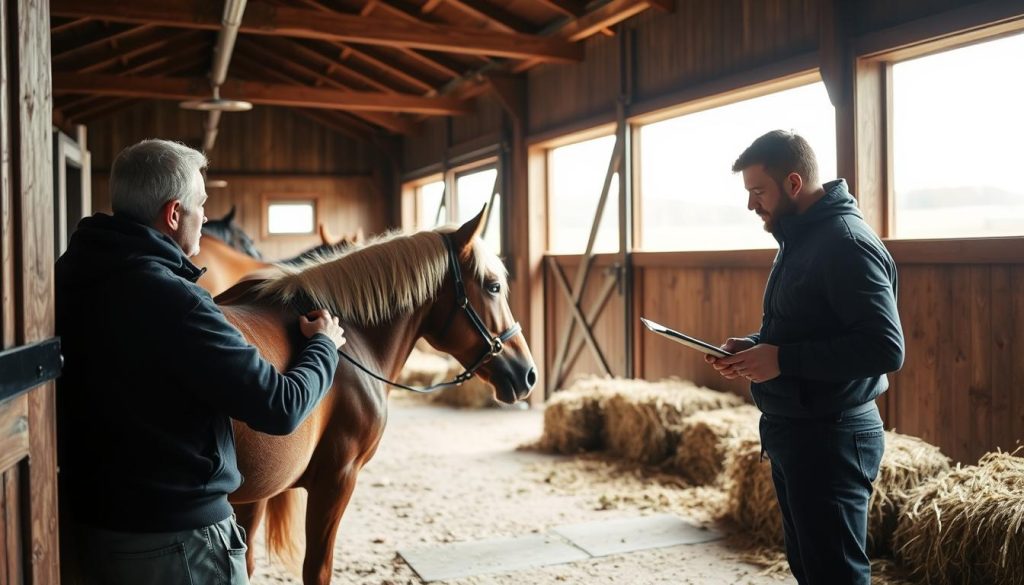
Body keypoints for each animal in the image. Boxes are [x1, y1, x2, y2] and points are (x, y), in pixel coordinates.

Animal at [216, 207, 536, 581]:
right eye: (494, 286)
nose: (528, 373)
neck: (349, 339)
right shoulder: (337, 479)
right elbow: (317, 570)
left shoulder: (259, 491)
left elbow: (248, 562)